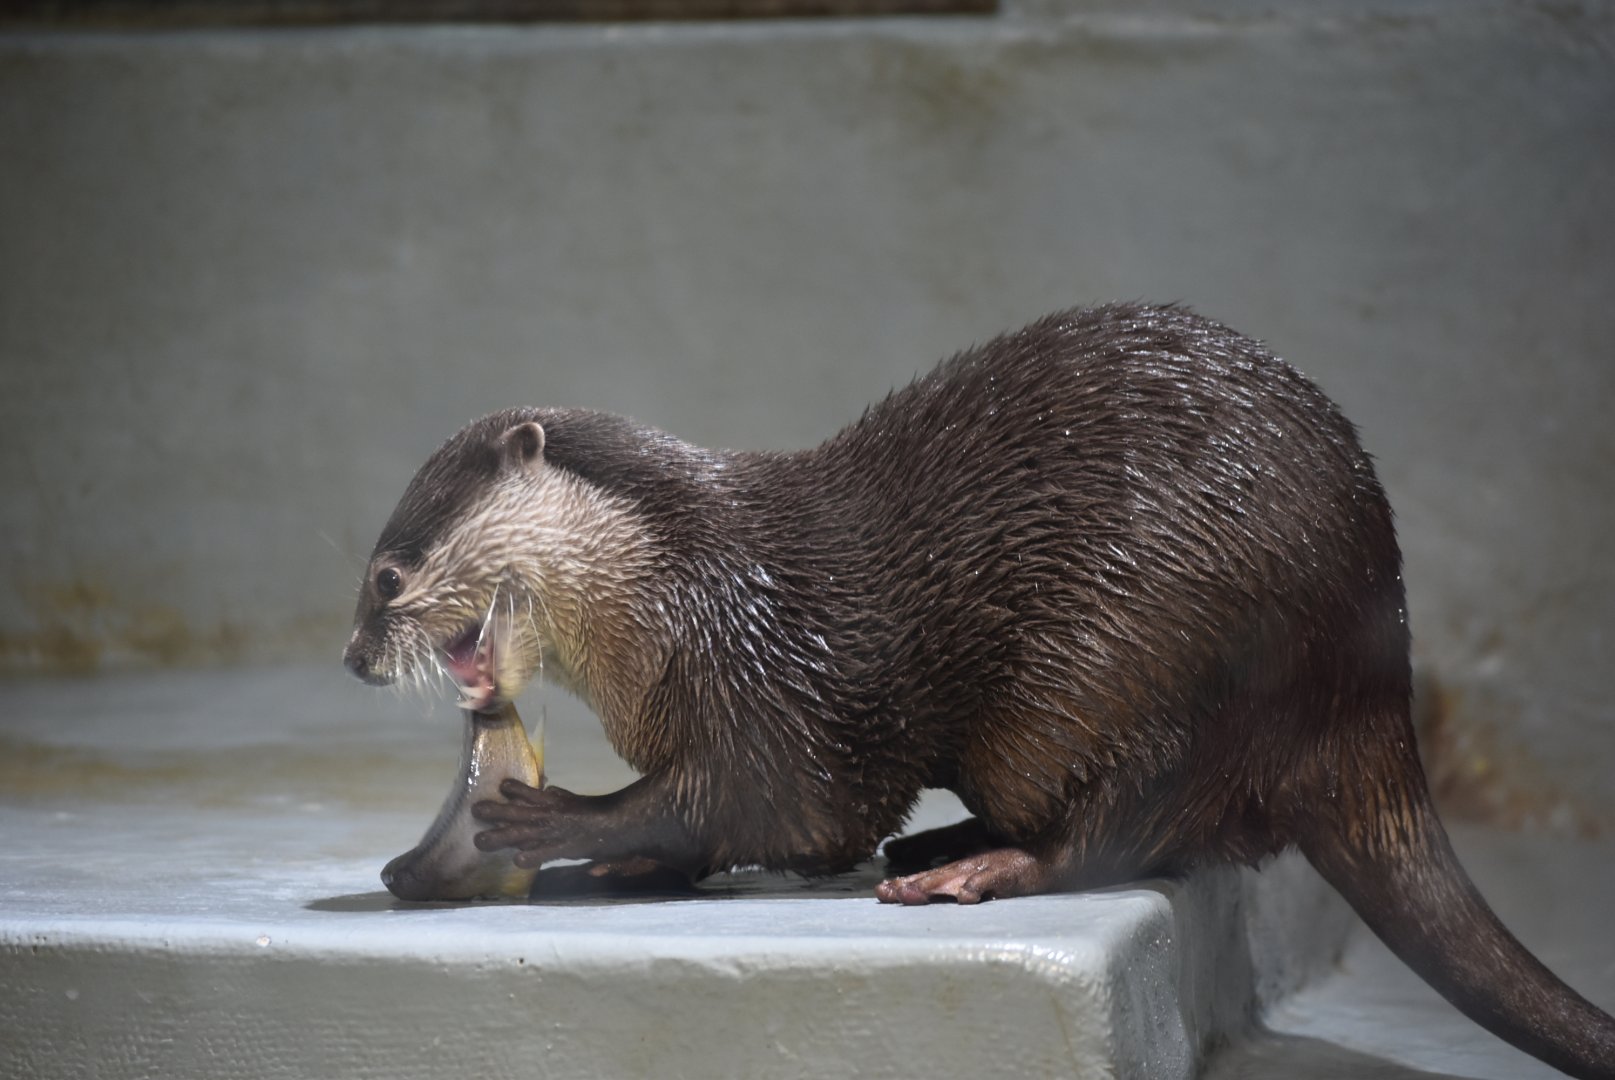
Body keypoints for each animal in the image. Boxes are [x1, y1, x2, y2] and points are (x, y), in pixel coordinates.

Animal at [344, 302, 1615, 1078]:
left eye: (386, 574)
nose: (354, 658)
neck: (680, 587)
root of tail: (1370, 681)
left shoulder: (773, 682)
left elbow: (786, 806)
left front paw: (558, 821)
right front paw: (627, 861)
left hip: (1129, 666)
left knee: (1129, 827)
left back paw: (975, 867)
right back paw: (942, 843)